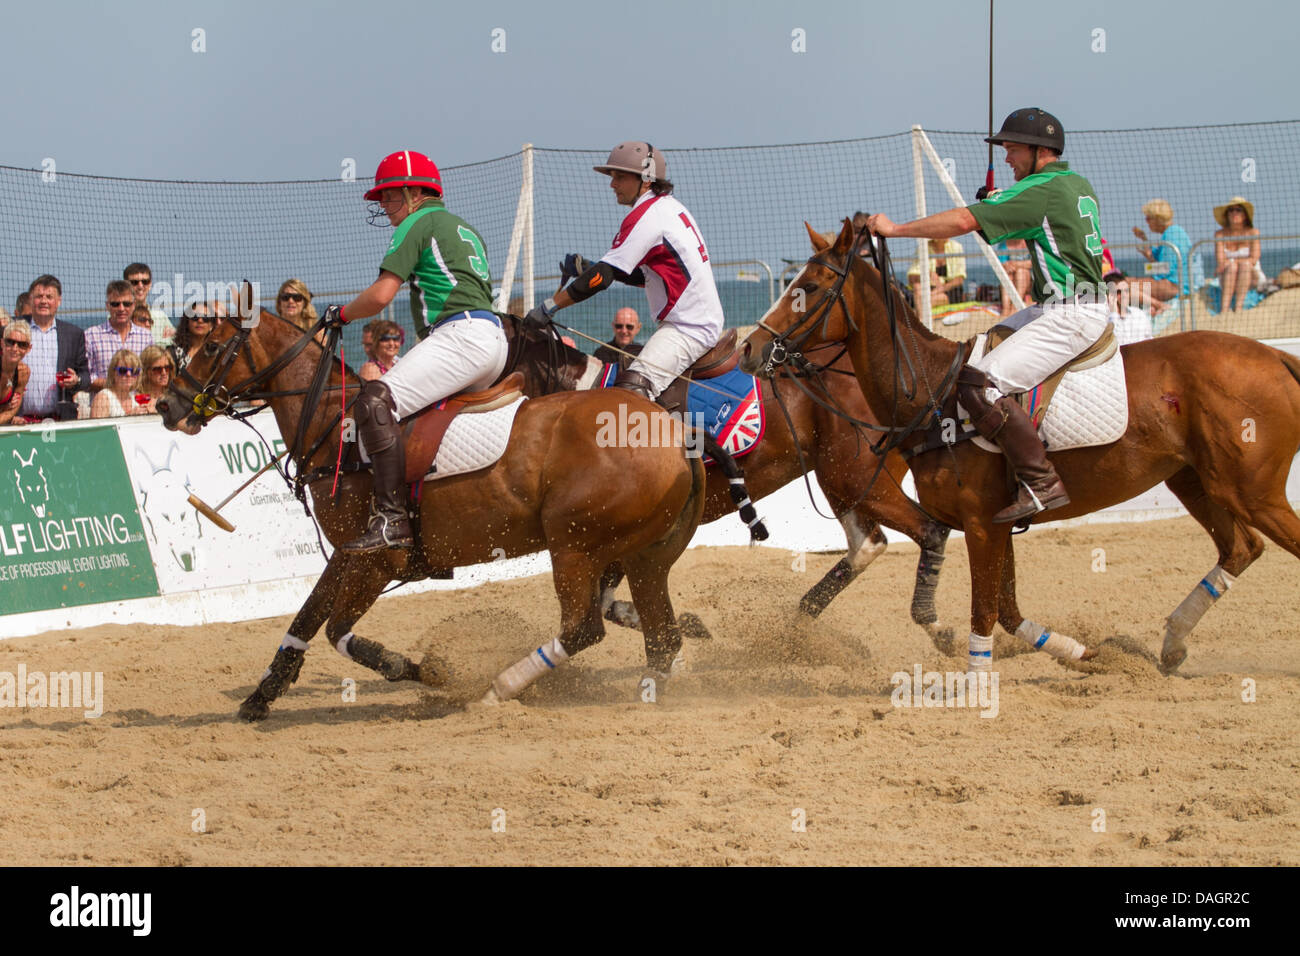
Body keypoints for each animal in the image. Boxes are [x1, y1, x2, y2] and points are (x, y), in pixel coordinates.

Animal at [156, 310, 759, 723]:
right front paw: (261, 697)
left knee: (584, 627)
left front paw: (418, 669)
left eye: (212, 346)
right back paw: (651, 690)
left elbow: (333, 630)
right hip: (645, 555)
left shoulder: (377, 558)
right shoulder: (354, 554)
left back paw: (499, 688)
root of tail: (677, 429)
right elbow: (308, 623)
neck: (335, 428)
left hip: (575, 545)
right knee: (661, 636)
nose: (166, 404)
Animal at [501, 316, 951, 642]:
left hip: (859, 479)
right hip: (841, 479)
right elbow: (609, 602)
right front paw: (683, 624)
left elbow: (605, 599)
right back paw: (799, 622)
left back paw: (934, 624)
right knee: (867, 544)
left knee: (926, 530)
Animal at [743, 219, 1300, 671]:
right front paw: (1084, 654)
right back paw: (1173, 644)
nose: (749, 348)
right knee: (1242, 547)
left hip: (1253, 491)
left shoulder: (979, 525)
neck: (931, 392)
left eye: (807, 288)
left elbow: (984, 611)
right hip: (1196, 480)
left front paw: (975, 686)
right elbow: (1007, 612)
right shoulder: (997, 524)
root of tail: (1277, 357)